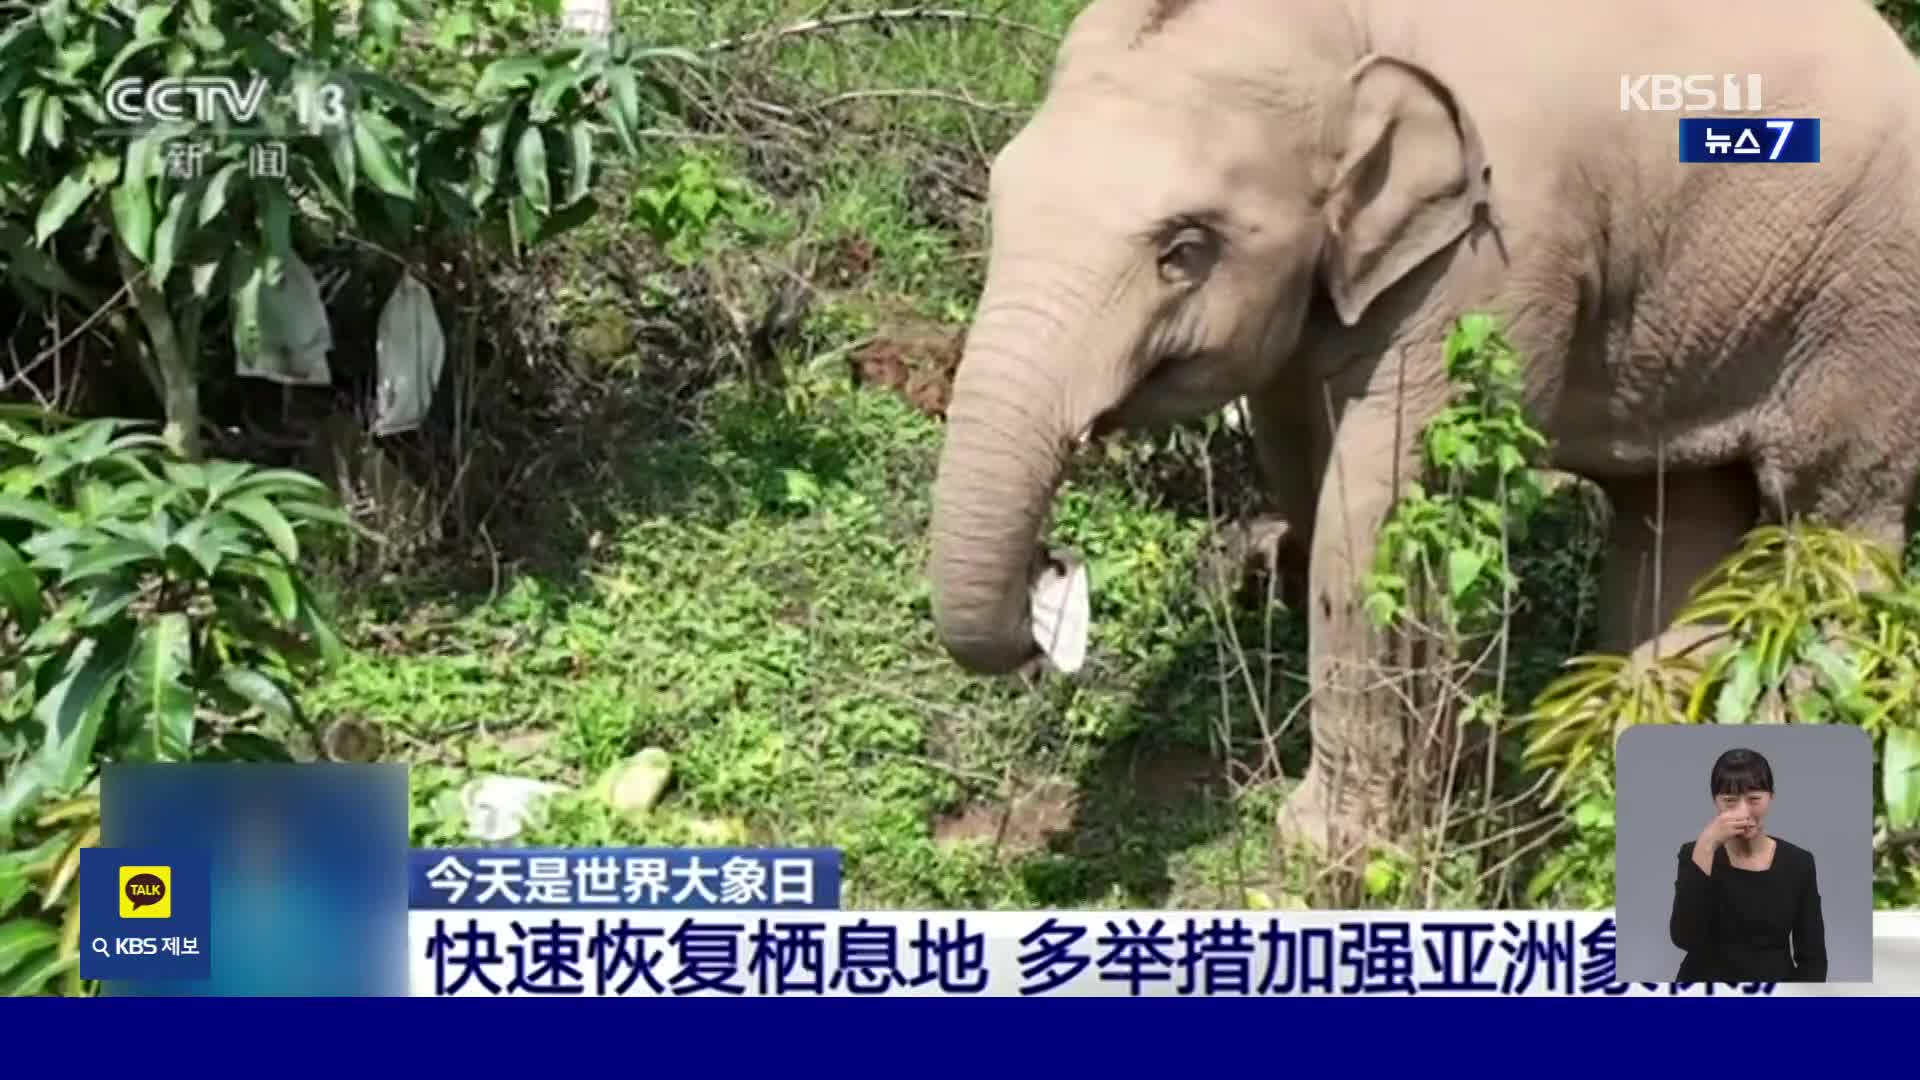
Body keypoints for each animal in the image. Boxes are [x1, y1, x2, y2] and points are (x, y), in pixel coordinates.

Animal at [921, 0, 1920, 849]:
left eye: (1185, 250)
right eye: (1000, 200)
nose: (1053, 569)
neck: (1339, 27)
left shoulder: (1495, 243)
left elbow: (1376, 503)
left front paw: (1325, 849)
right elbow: (1301, 454)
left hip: (1869, 300)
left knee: (1834, 518)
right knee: (1678, 505)